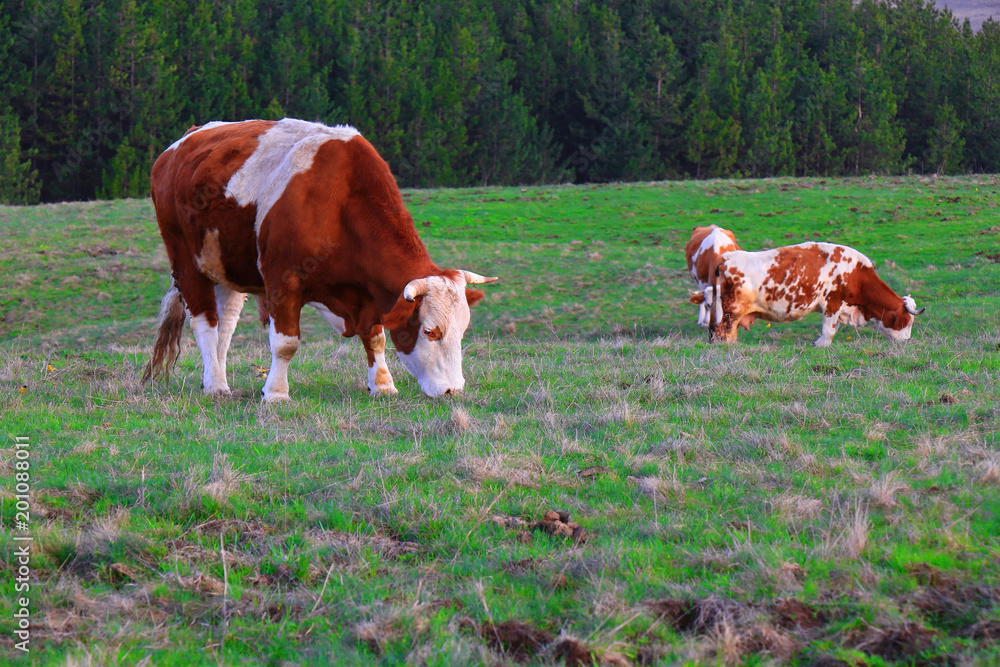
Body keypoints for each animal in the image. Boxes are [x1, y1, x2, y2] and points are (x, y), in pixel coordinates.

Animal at [142, 118, 497, 401]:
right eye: (429, 331)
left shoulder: (368, 295)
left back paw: (216, 379)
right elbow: (286, 343)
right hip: (185, 260)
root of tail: (181, 142)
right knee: (205, 322)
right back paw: (215, 386)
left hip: (227, 266)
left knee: (225, 325)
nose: (453, 389)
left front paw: (382, 385)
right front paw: (275, 394)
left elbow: (376, 338)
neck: (341, 200)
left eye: (463, 331)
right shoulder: (282, 281)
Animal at [699, 242, 924, 346]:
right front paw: (820, 344)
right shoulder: (833, 303)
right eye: (906, 321)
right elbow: (829, 329)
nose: (907, 341)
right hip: (731, 311)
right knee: (723, 332)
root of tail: (728, 256)